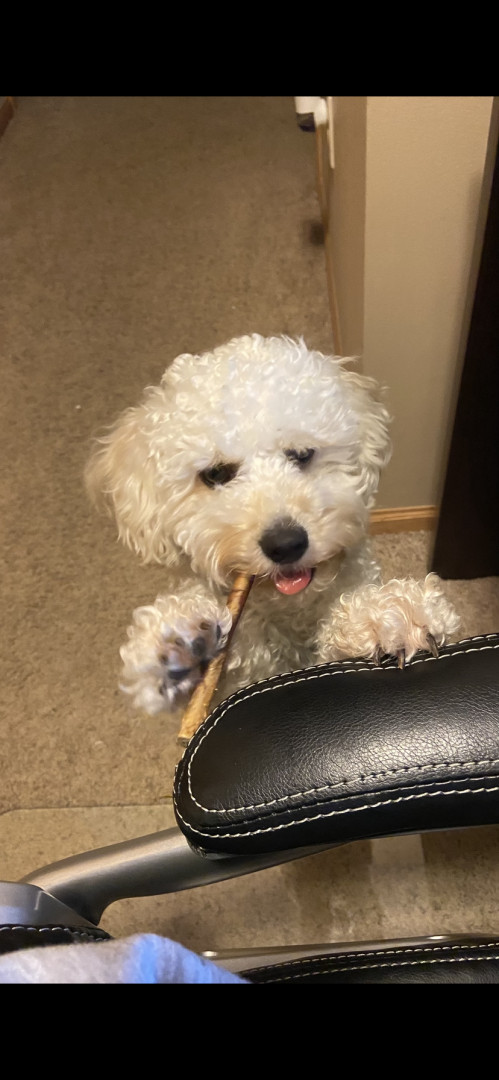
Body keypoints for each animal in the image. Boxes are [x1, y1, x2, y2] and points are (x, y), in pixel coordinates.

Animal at [85, 334, 459, 717]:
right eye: (215, 475)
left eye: (302, 454)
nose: (286, 544)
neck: (291, 610)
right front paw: (176, 641)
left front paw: (388, 616)